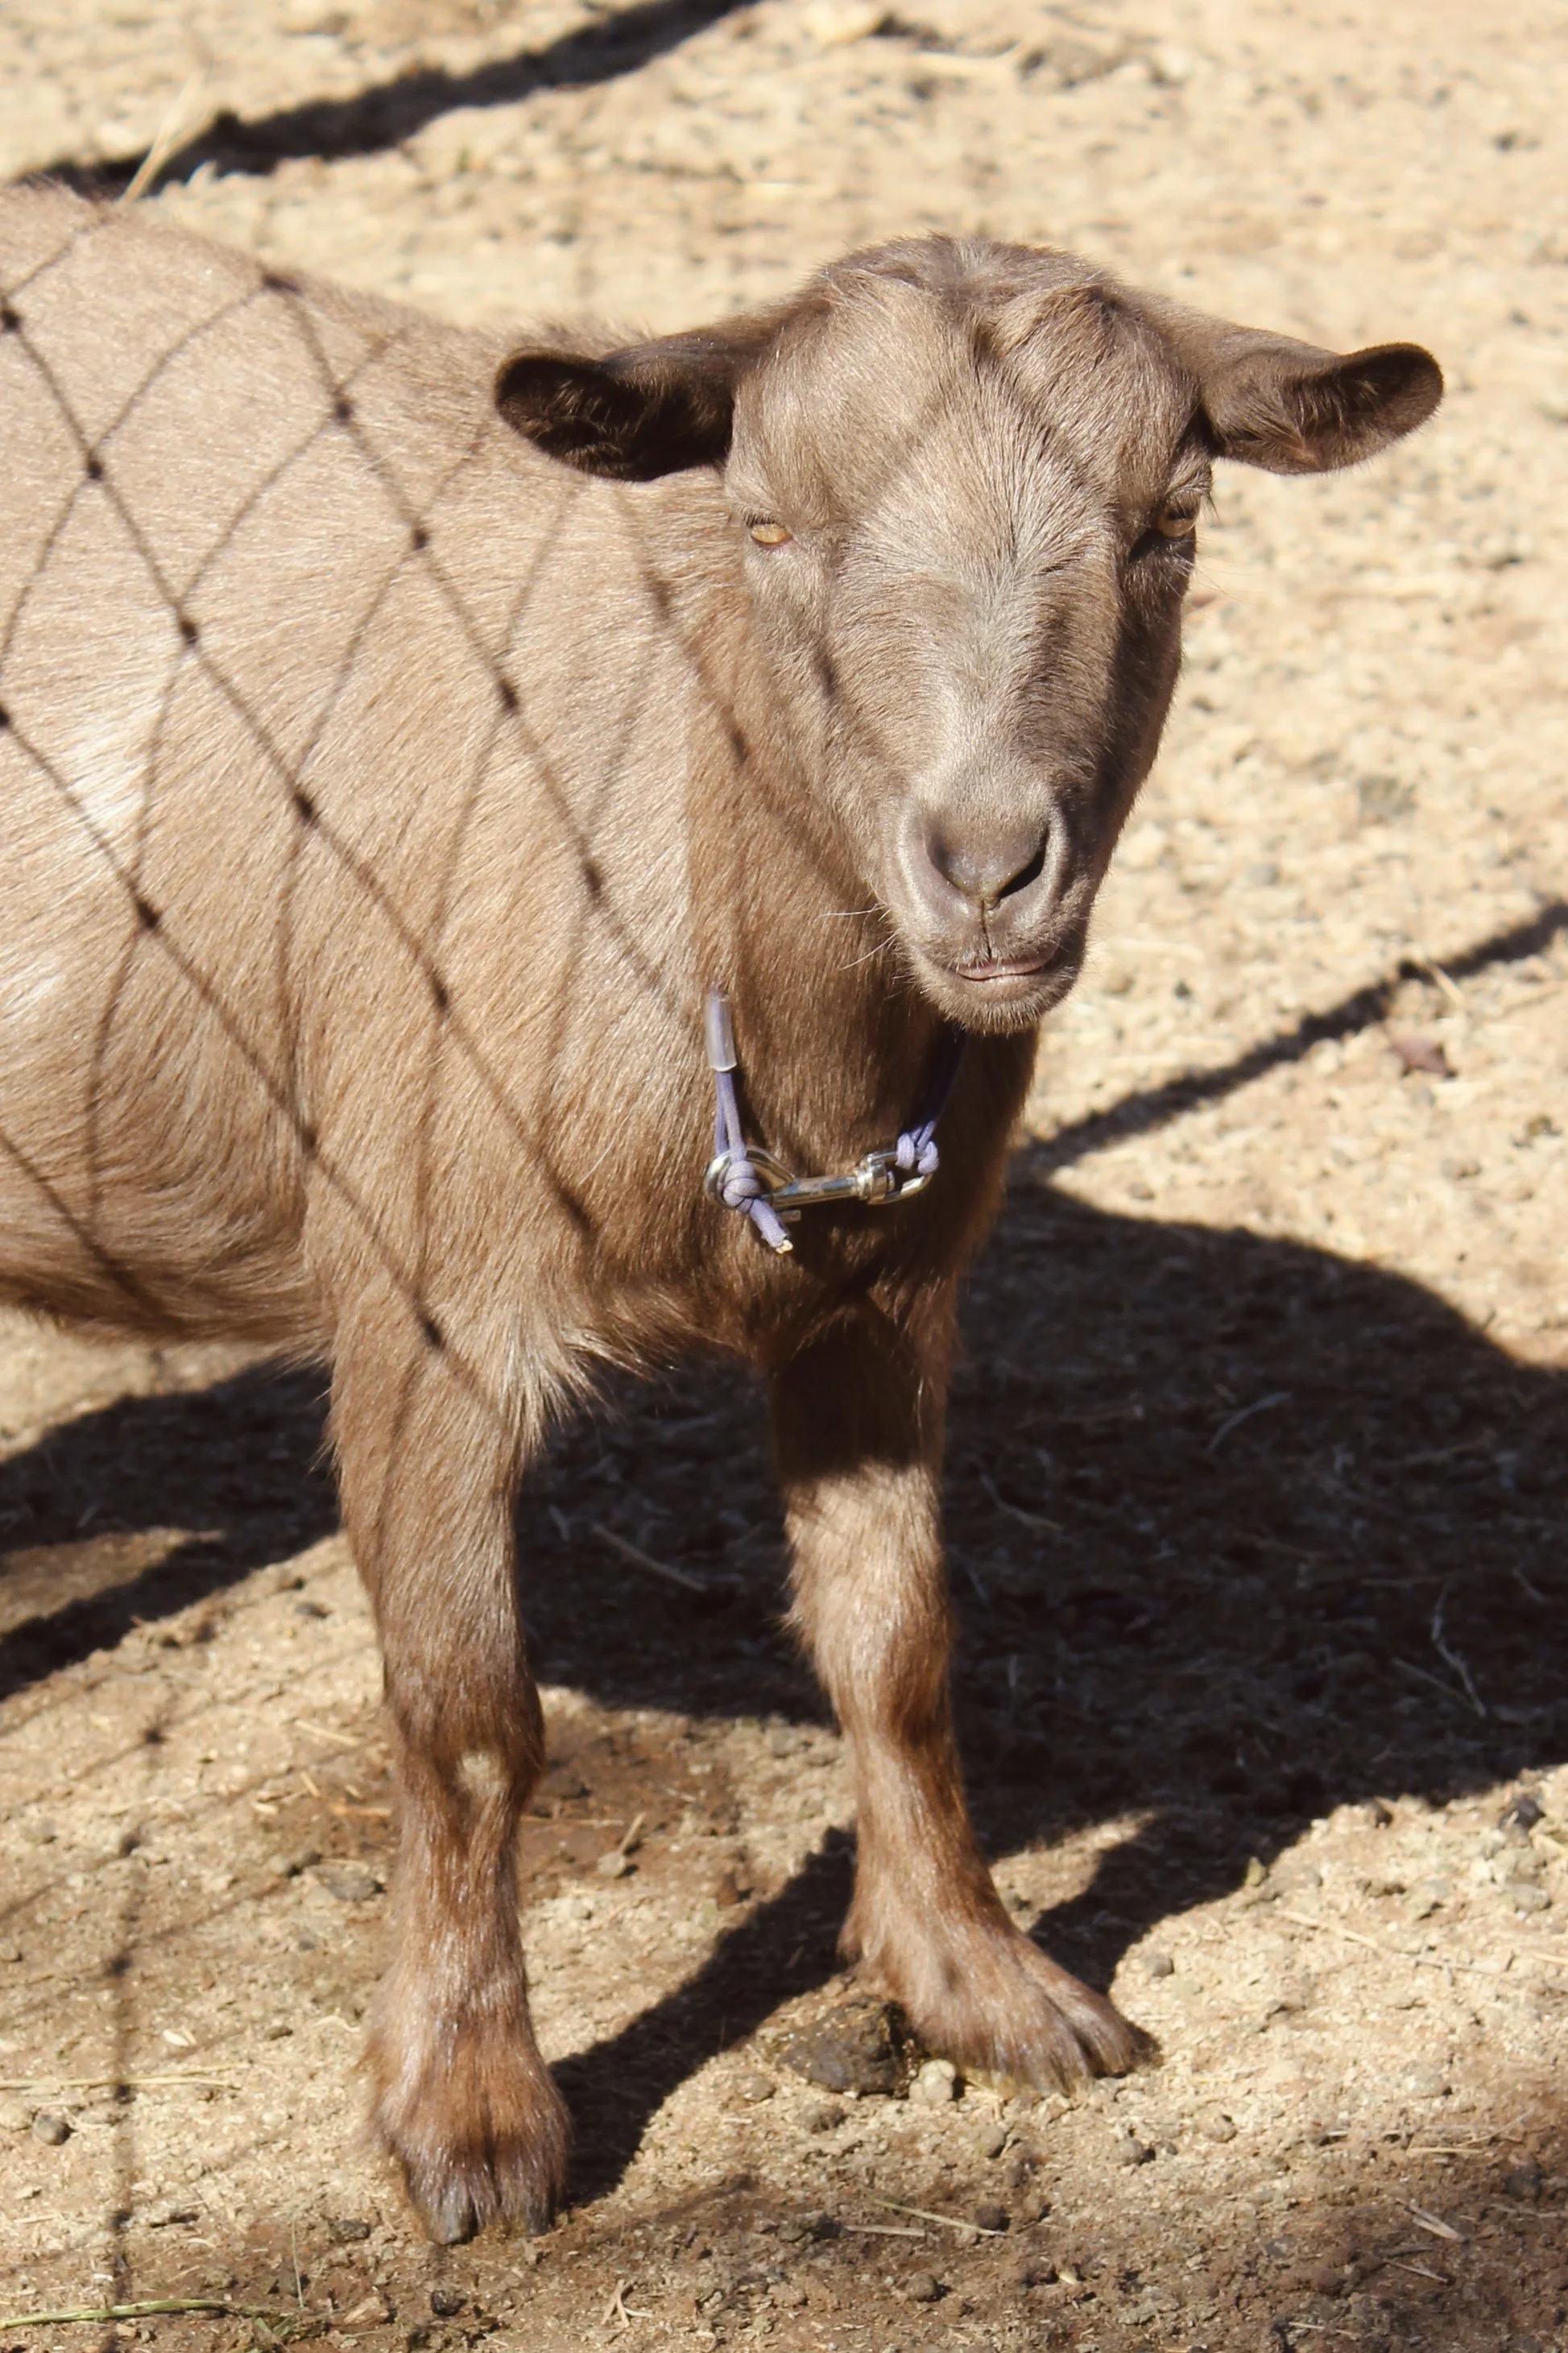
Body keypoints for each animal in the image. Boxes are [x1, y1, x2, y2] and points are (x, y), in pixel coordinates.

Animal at [0, 185, 1441, 2239]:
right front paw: (469, 2118)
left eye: (1173, 525)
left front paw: (978, 1984)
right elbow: (467, 1712)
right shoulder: (424, 1283)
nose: (990, 866)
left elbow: (897, 1648)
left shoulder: (881, 1305)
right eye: (764, 522)